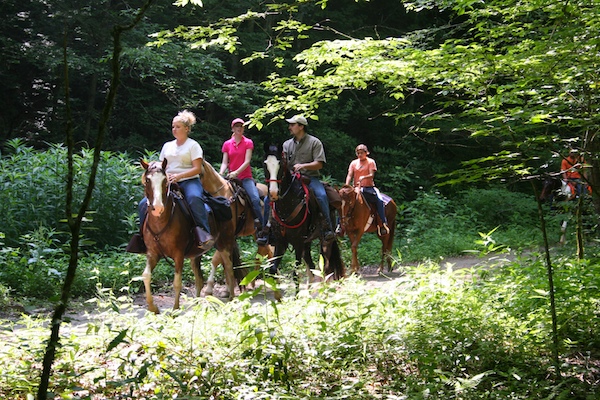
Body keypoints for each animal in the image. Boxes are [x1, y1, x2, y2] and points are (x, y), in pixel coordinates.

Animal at [139, 159, 209, 312]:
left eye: (165, 180)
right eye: (147, 180)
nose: (158, 208)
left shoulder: (178, 254)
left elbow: (177, 282)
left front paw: (175, 310)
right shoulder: (152, 254)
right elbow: (146, 276)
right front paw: (153, 308)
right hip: (196, 254)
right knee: (199, 279)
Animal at [198, 159, 274, 296]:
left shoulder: (226, 234)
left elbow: (217, 259)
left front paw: (209, 289)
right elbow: (221, 260)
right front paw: (227, 289)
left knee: (267, 251)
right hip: (255, 233)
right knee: (263, 251)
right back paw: (254, 282)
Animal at [264, 142, 344, 292]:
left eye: (280, 164)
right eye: (265, 164)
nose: (273, 193)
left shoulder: (298, 242)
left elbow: (295, 274)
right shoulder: (281, 242)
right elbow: (273, 270)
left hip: (325, 242)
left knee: (325, 267)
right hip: (307, 243)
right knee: (312, 267)